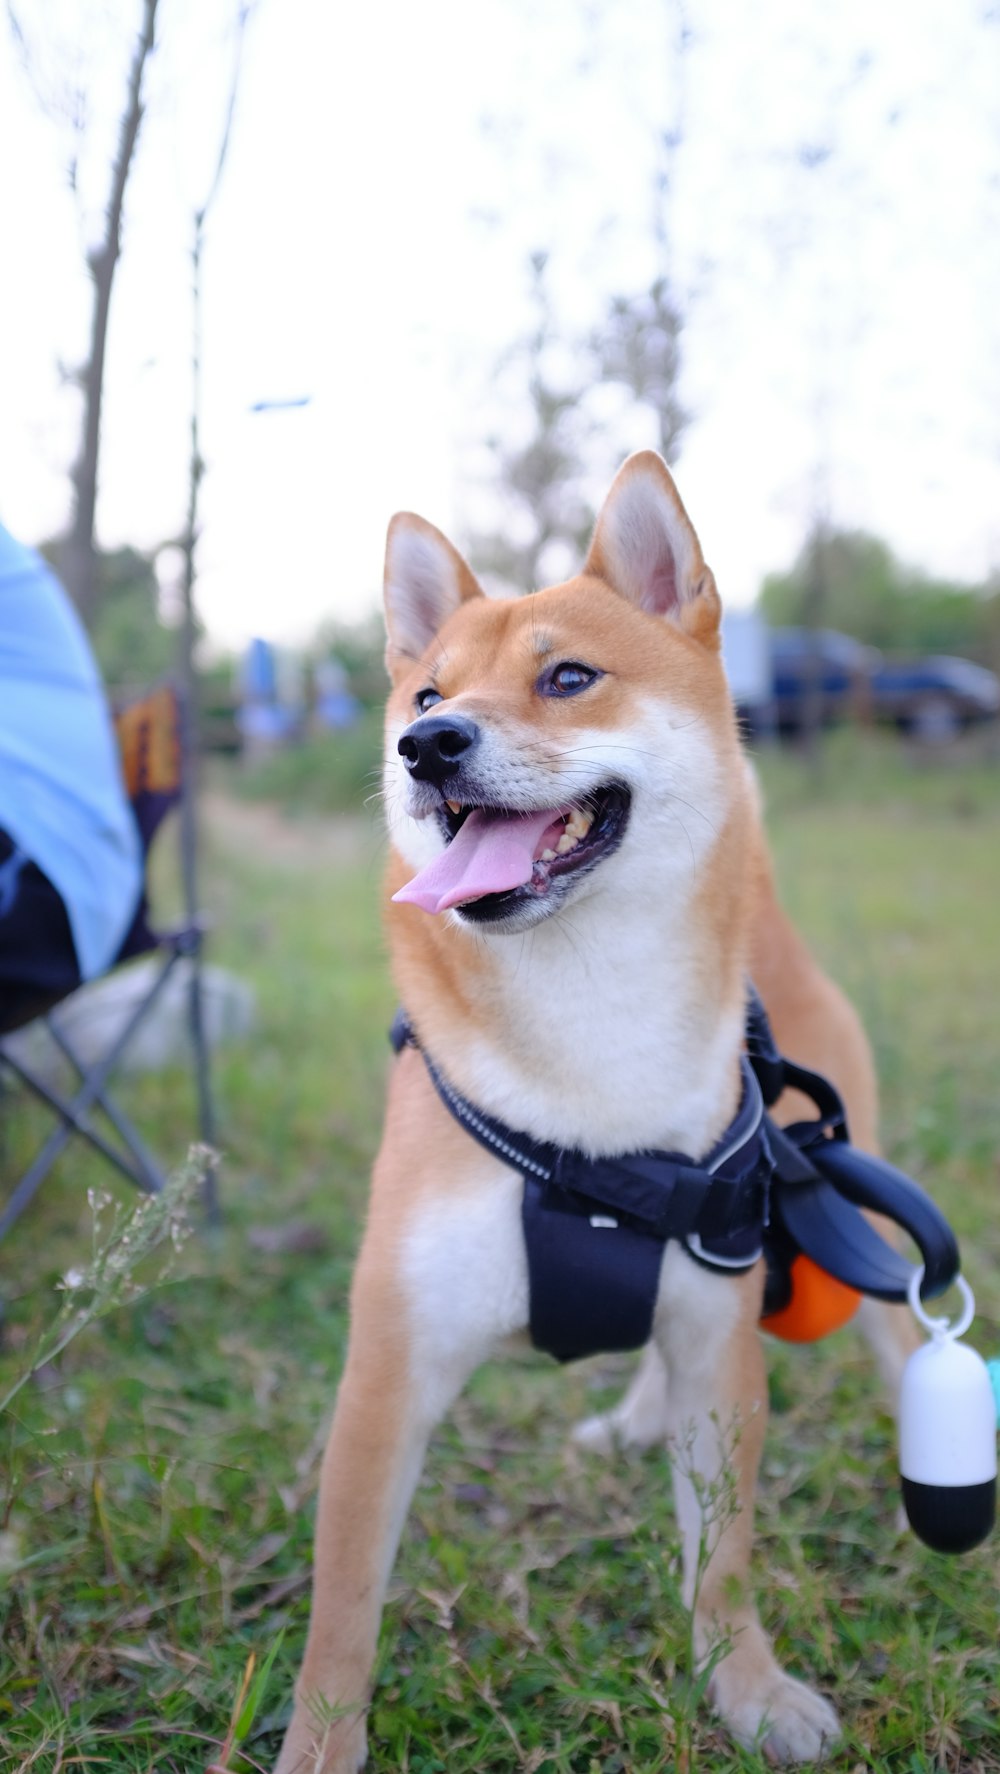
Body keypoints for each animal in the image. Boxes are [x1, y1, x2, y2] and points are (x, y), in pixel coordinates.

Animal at [273, 450, 914, 1766]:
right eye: (425, 689)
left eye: (567, 676)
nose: (426, 743)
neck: (589, 1063)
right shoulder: (389, 1371)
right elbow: (343, 1611)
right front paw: (318, 1746)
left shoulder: (721, 1338)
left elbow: (723, 1557)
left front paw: (747, 1688)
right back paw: (628, 1423)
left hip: (853, 1229)